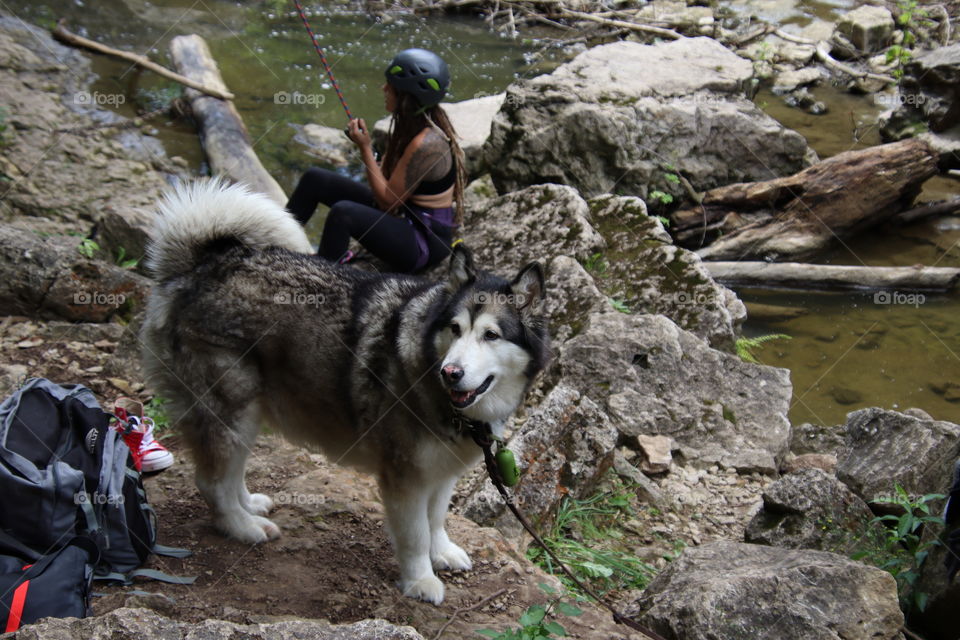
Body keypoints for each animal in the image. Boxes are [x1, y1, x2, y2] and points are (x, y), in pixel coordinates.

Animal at [139, 180, 552, 604]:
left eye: (491, 335)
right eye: (454, 329)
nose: (450, 373)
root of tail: (202, 265)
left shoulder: (442, 470)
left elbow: (436, 518)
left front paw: (442, 552)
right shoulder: (405, 477)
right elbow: (416, 534)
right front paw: (420, 579)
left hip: (246, 415)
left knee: (231, 472)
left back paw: (249, 506)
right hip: (232, 409)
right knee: (212, 481)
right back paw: (242, 526)